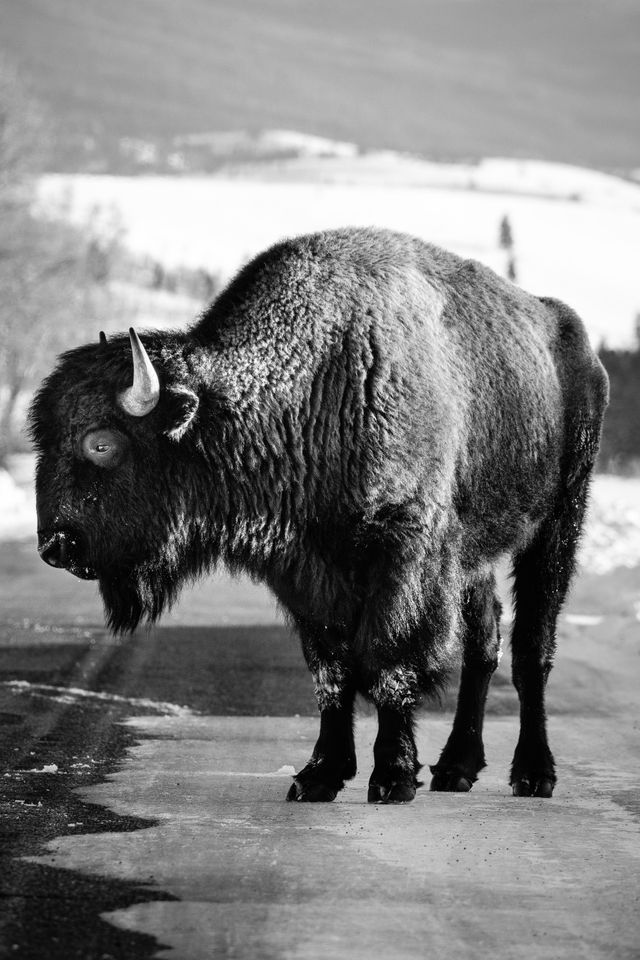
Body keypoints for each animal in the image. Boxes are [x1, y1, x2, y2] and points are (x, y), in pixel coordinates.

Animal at [31, 231, 608, 804]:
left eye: (101, 443)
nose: (56, 546)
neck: (311, 384)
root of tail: (575, 341)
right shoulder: (307, 574)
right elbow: (330, 671)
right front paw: (319, 776)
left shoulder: (401, 557)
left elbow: (387, 661)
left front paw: (392, 777)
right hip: (474, 556)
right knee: (483, 645)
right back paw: (455, 768)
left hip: (559, 523)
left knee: (532, 648)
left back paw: (533, 773)